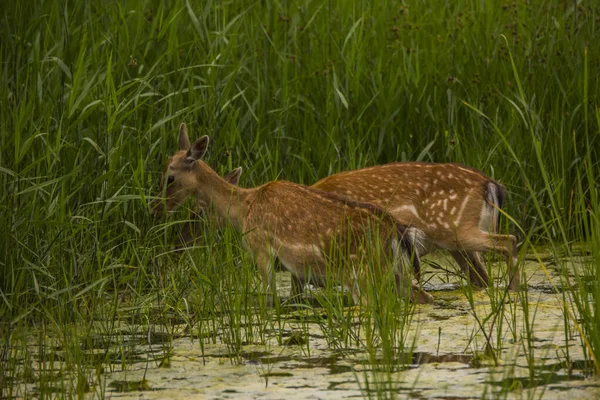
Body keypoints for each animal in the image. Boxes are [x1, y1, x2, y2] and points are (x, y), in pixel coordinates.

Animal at [152, 125, 434, 306]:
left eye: (170, 177)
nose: (156, 210)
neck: (244, 209)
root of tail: (399, 233)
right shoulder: (297, 271)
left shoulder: (261, 250)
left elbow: (269, 295)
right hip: (394, 271)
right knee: (422, 296)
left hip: (363, 270)